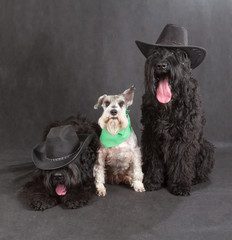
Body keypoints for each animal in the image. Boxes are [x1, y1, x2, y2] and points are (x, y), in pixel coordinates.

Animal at [136, 24, 214, 196]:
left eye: (174, 53)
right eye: (156, 53)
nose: (161, 65)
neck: (169, 105)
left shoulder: (185, 135)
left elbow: (182, 160)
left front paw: (180, 184)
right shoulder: (151, 134)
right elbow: (153, 159)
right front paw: (152, 181)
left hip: (206, 147)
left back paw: (196, 178)